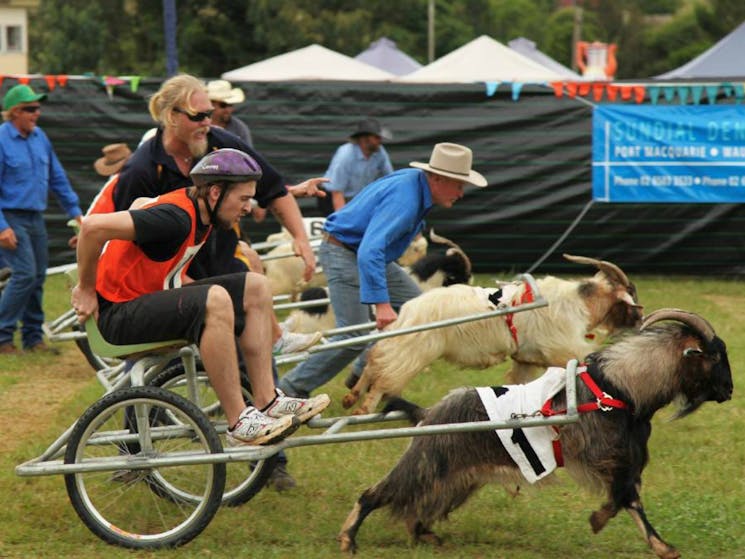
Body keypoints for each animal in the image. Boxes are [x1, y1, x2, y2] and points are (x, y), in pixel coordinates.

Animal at [338, 310, 732, 559]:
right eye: (713, 356)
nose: (728, 391)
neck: (619, 387)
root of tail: (429, 413)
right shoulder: (607, 456)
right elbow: (624, 498)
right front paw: (602, 522)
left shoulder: (626, 459)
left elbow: (629, 499)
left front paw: (658, 545)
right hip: (425, 462)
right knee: (375, 494)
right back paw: (348, 539)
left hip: (457, 478)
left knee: (420, 506)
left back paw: (425, 534)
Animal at [342, 254, 640, 416]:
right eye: (630, 293)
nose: (639, 319)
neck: (578, 302)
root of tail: (409, 310)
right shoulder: (565, 351)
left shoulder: (525, 360)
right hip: (415, 350)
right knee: (384, 376)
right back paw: (362, 408)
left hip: (402, 343)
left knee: (375, 360)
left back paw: (351, 397)